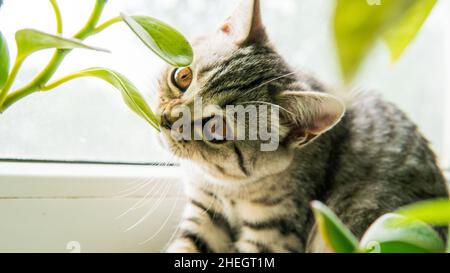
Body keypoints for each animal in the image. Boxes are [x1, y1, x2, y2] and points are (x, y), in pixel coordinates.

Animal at [156, 0, 450, 253]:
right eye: (183, 76)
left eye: (216, 129)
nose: (167, 119)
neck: (226, 185)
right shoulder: (204, 212)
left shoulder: (275, 233)